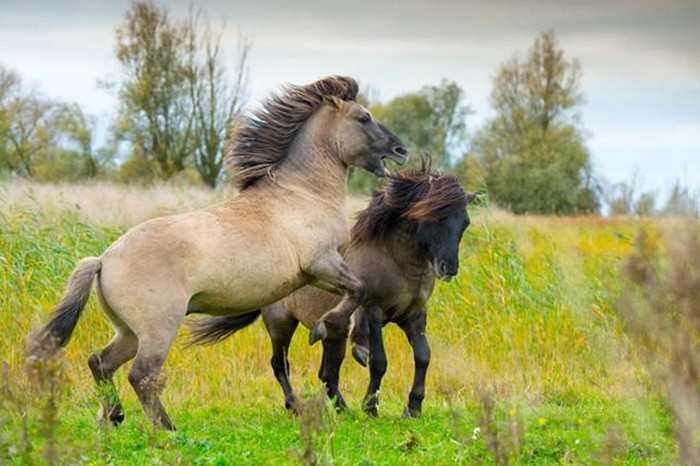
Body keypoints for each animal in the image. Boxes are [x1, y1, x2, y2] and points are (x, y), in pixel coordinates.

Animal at [30, 76, 408, 430]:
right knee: (140, 375)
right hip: (158, 330)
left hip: (128, 332)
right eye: (364, 117)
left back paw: (113, 416)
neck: (303, 194)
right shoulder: (322, 263)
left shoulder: (316, 274)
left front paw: (348, 341)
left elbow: (358, 293)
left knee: (101, 362)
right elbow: (357, 290)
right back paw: (166, 428)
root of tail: (104, 260)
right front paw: (327, 331)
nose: (400, 149)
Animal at [189, 162, 478, 416]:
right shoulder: (373, 312)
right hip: (281, 324)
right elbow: (379, 361)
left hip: (334, 335)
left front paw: (413, 408)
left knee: (327, 373)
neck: (396, 260)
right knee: (280, 364)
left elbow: (423, 356)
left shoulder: (415, 315)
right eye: (434, 216)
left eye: (464, 223)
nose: (449, 268)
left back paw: (342, 409)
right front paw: (370, 407)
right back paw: (296, 406)